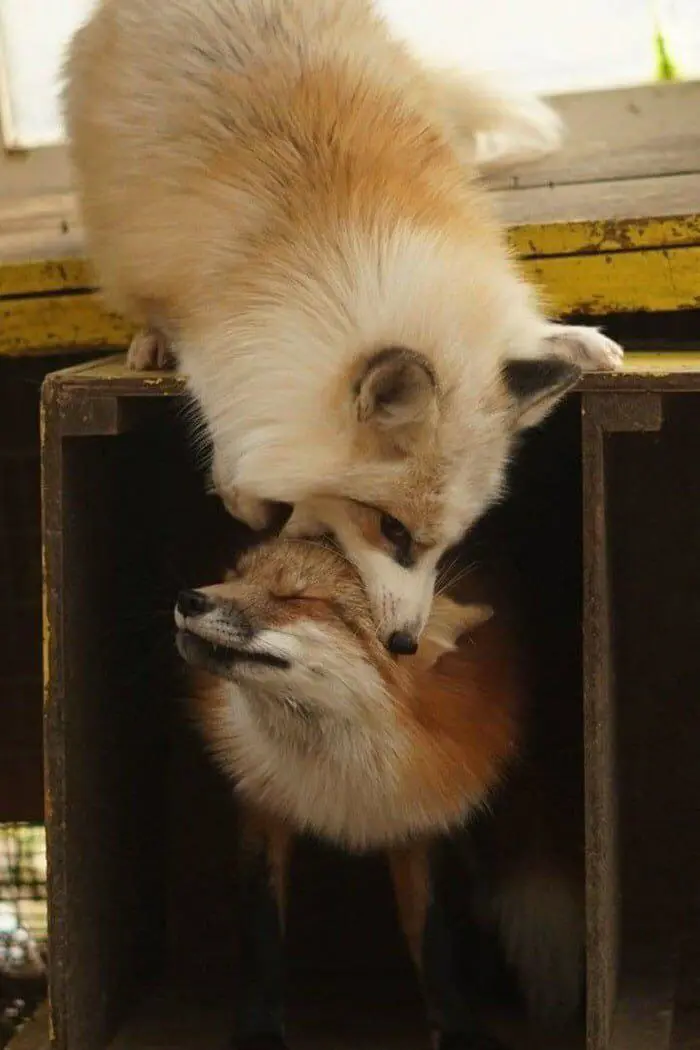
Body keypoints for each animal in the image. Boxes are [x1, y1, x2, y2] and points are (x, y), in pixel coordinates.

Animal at [64, 0, 624, 653]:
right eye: (392, 529)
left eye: (449, 540)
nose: (405, 643)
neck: (343, 239)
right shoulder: (218, 334)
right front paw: (245, 495)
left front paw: (575, 339)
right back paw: (150, 340)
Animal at [175, 537, 583, 1050]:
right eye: (235, 575)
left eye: (295, 598)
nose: (189, 598)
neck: (340, 776)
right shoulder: (265, 806)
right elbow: (262, 929)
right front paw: (257, 1032)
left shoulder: (415, 819)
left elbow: (432, 936)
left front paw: (459, 1027)